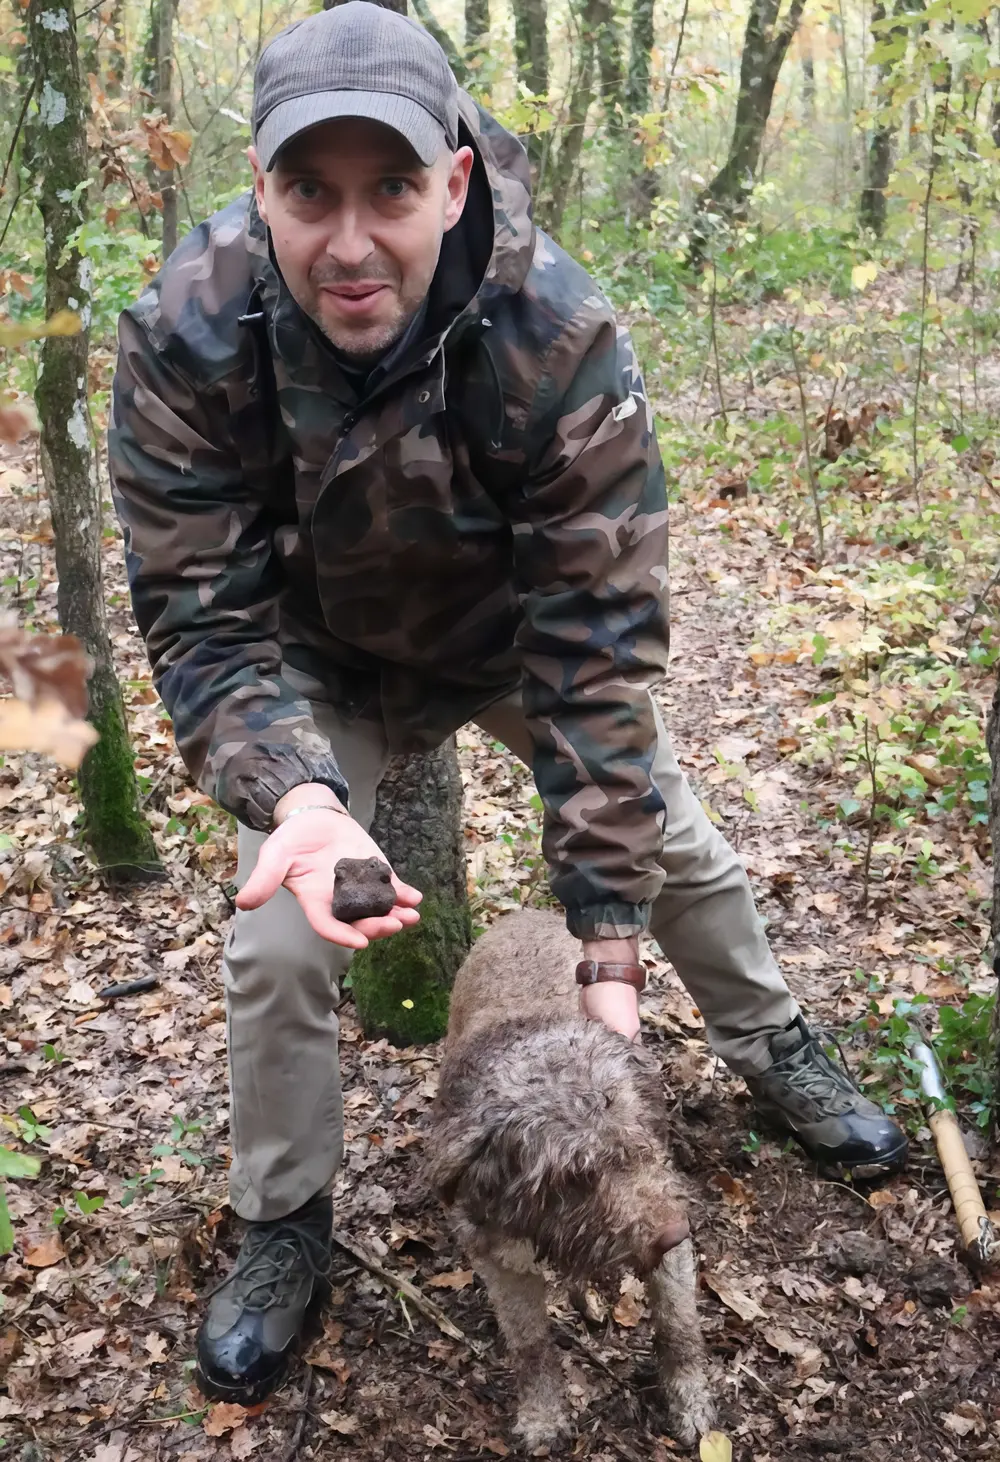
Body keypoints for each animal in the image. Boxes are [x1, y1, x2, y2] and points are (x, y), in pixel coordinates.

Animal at [426, 906, 713, 1444]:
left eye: (642, 1146)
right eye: (575, 1177)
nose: (675, 1232)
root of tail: (525, 912)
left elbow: (678, 1324)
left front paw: (692, 1401)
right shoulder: (500, 1256)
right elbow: (530, 1345)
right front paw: (543, 1414)